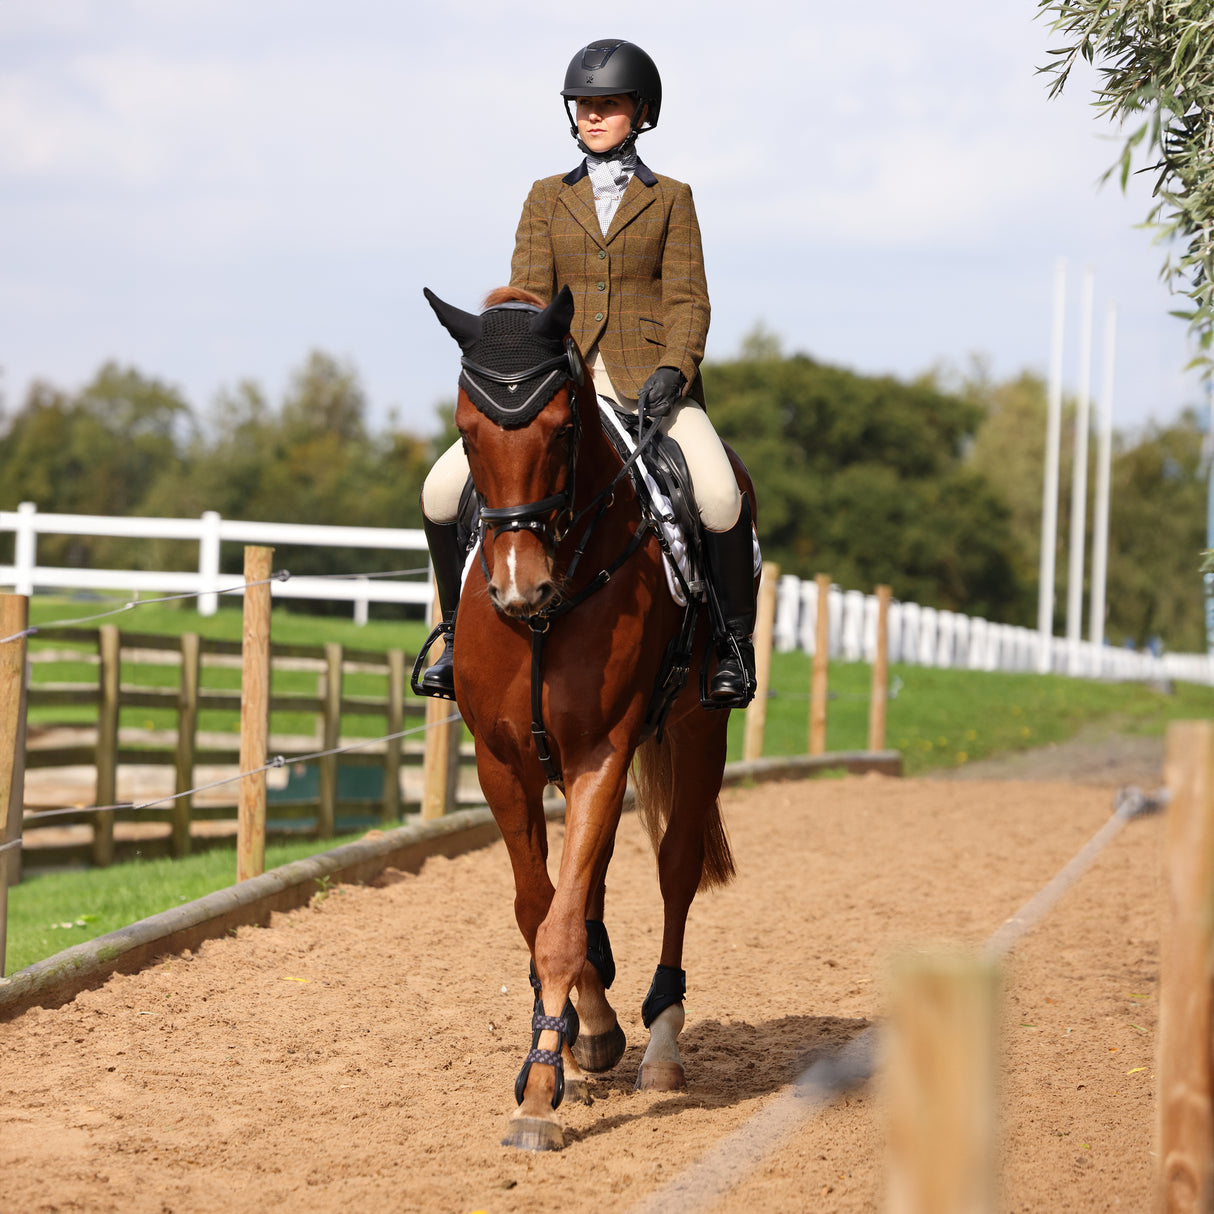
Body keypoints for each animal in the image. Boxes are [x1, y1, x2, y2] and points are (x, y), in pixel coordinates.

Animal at [422, 281, 752, 1146]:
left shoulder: (601, 750)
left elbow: (563, 921)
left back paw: (662, 1043)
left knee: (675, 868)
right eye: (466, 434)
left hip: (699, 730)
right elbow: (541, 905)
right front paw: (577, 1036)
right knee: (594, 874)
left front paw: (540, 1096)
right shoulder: (504, 761)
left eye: (563, 429)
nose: (518, 590)